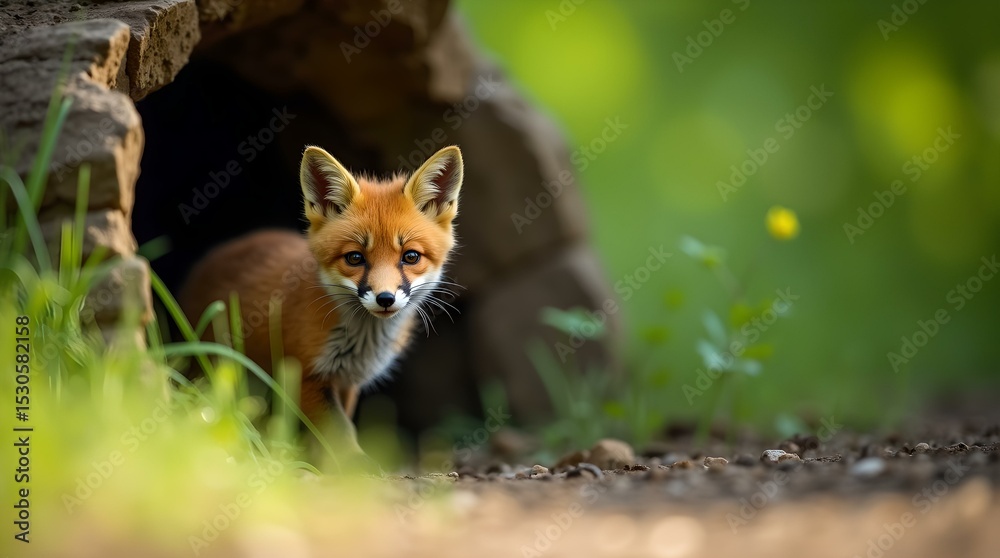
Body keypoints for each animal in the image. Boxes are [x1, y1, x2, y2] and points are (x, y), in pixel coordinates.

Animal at [179, 145, 463, 471]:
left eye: (411, 256)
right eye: (354, 258)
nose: (385, 298)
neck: (361, 342)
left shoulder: (347, 382)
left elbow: (337, 428)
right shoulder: (305, 373)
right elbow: (339, 430)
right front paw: (355, 466)